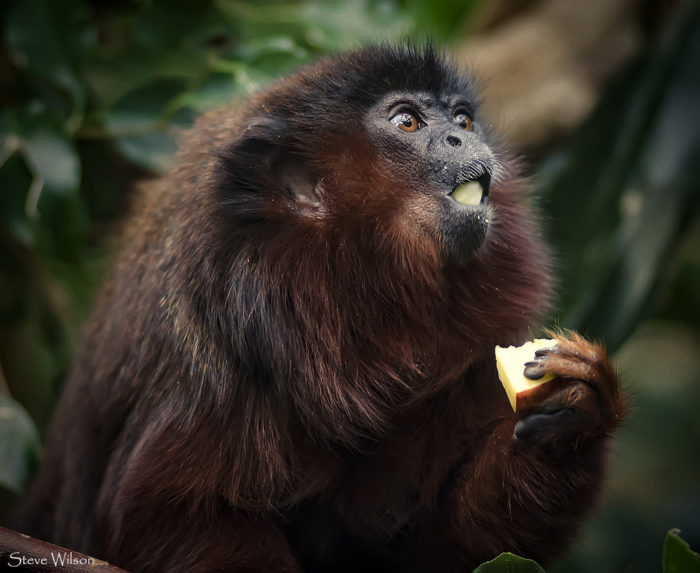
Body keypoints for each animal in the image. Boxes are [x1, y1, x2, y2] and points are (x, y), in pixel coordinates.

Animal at [10, 45, 628, 572]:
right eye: (408, 122)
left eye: (462, 118)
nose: (460, 138)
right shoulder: (218, 358)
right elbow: (164, 511)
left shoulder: (468, 366)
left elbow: (447, 550)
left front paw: (577, 411)